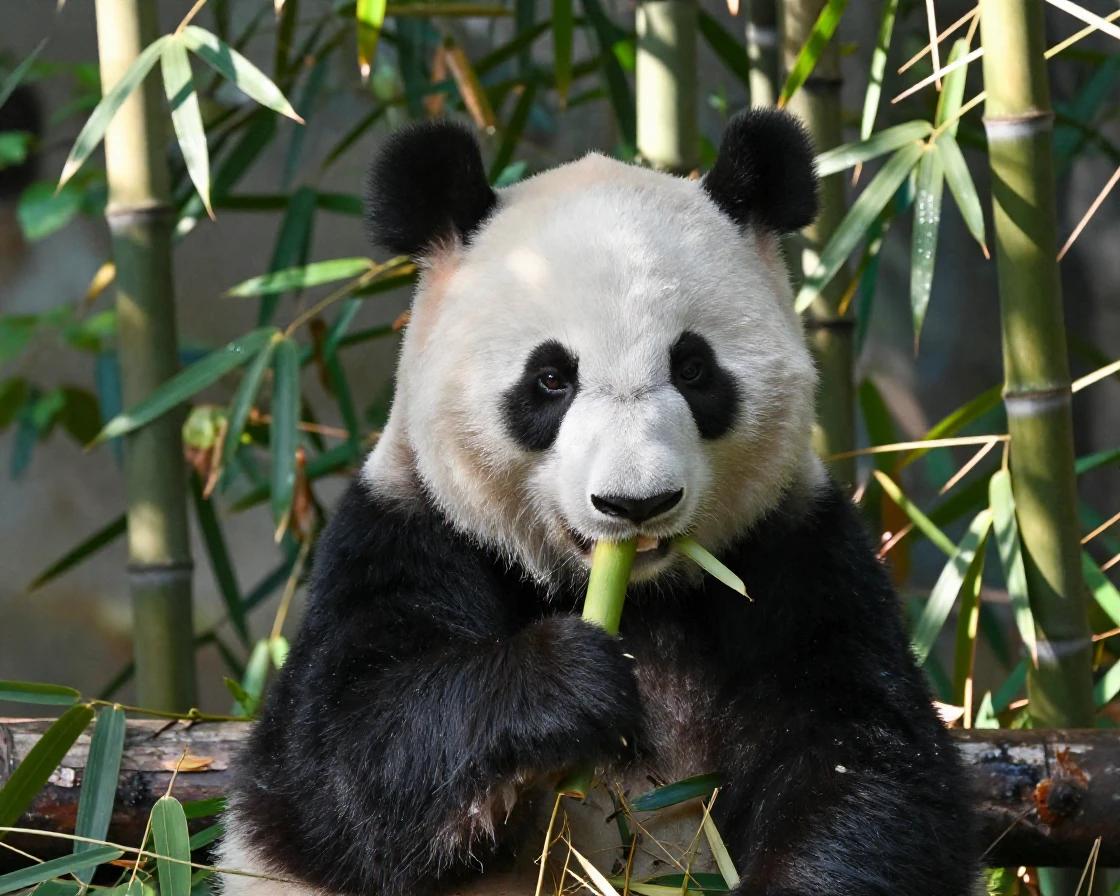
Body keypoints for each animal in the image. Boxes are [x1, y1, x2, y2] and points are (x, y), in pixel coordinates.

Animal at [216, 108, 978, 896]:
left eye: (694, 368)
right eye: (551, 379)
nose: (635, 503)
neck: (629, 595)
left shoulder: (795, 552)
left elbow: (866, 765)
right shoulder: (409, 531)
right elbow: (340, 764)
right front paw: (568, 681)